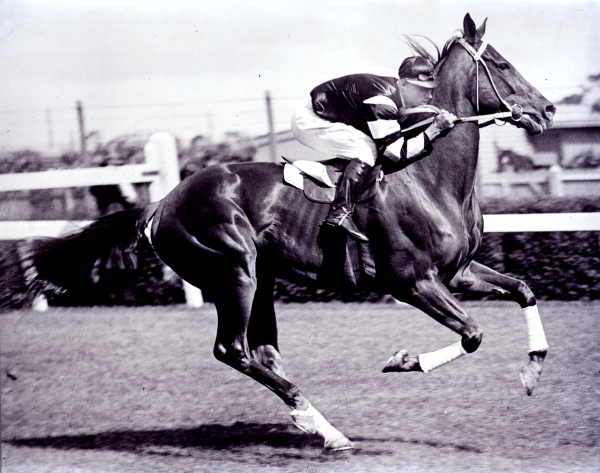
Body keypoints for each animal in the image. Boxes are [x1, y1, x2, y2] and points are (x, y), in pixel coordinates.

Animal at [19, 13, 552, 450]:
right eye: (501, 64)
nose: (546, 110)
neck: (430, 176)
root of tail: (162, 203)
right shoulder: (411, 281)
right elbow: (473, 334)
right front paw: (403, 360)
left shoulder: (458, 271)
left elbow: (523, 289)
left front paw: (531, 371)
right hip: (234, 272)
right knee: (233, 349)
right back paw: (324, 428)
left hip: (262, 279)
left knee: (264, 353)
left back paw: (318, 425)